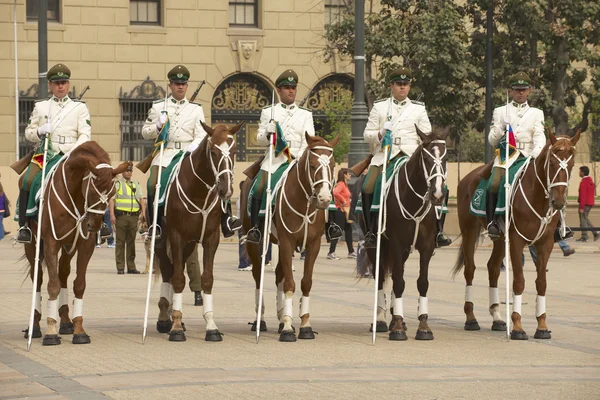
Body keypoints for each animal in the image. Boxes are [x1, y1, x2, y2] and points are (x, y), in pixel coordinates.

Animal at [22, 142, 130, 346]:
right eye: (92, 190)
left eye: (112, 192)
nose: (94, 225)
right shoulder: (51, 242)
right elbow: (52, 285)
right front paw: (50, 332)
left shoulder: (85, 245)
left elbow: (79, 284)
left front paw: (79, 330)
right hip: (33, 245)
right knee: (38, 278)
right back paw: (36, 326)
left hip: (68, 248)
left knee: (63, 273)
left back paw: (65, 322)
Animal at [155, 121, 241, 340]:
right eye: (213, 152)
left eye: (234, 151)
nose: (226, 190)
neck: (199, 193)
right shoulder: (176, 237)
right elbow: (178, 279)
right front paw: (176, 327)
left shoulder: (211, 239)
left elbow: (207, 279)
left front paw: (211, 326)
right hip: (162, 240)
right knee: (168, 271)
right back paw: (165, 318)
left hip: (189, 244)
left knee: (174, 269)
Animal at [241, 133, 340, 342]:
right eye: (313, 165)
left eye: (332, 164)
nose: (325, 199)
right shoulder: (287, 242)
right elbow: (289, 283)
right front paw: (288, 327)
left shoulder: (313, 244)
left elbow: (305, 282)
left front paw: (304, 325)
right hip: (256, 242)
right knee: (258, 276)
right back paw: (261, 320)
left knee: (279, 273)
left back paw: (280, 318)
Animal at [356, 127, 450, 340]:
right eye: (426, 157)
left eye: (445, 158)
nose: (438, 193)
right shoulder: (397, 243)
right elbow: (398, 283)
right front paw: (397, 326)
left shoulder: (426, 246)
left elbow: (422, 283)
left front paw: (423, 326)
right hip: (377, 247)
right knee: (380, 277)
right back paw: (381, 320)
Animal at [452, 130, 580, 340]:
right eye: (552, 163)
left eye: (571, 165)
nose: (559, 202)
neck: (537, 196)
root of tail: (467, 178)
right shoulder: (517, 240)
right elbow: (519, 282)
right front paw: (518, 327)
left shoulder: (545, 244)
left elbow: (541, 283)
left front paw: (542, 326)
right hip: (469, 229)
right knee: (470, 269)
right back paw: (471, 318)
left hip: (500, 239)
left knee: (493, 268)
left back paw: (497, 317)